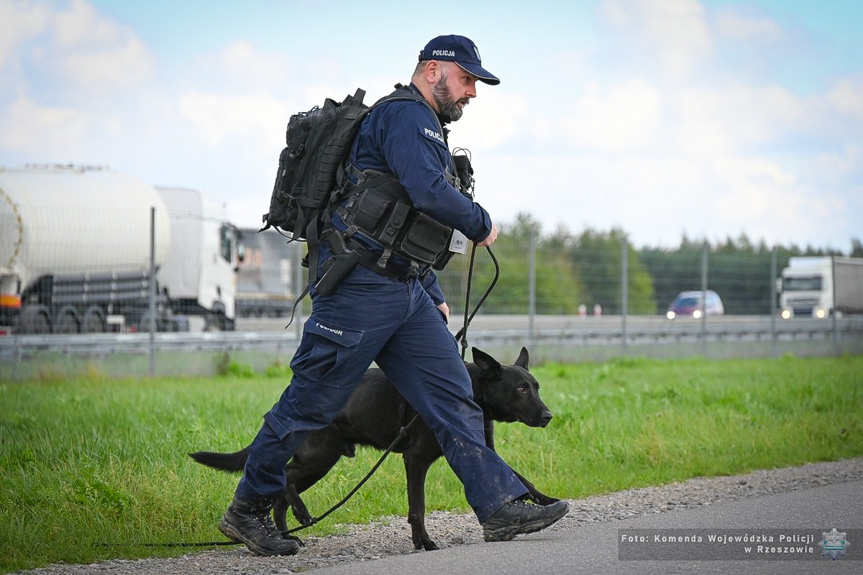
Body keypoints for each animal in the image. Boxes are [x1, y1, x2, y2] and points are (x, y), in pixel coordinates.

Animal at [191, 348, 560, 552]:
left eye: (537, 387)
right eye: (521, 389)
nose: (548, 416)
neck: (471, 391)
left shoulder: (480, 449)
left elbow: (518, 479)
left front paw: (544, 502)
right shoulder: (416, 460)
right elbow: (417, 506)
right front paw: (423, 542)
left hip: (321, 460)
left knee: (282, 489)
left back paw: (288, 534)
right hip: (320, 456)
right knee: (283, 475)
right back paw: (300, 515)